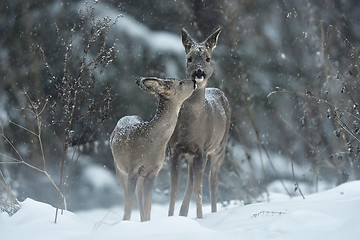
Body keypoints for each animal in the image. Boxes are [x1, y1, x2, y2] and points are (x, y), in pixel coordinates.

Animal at [111, 77, 198, 221]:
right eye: (180, 82)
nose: (194, 81)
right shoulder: (132, 168)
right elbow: (129, 204)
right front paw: (125, 222)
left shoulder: (152, 172)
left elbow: (148, 204)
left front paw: (146, 222)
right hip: (120, 170)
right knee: (128, 196)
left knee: (139, 196)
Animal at [168, 28, 232, 219]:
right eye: (189, 58)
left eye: (208, 58)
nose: (199, 72)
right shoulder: (175, 149)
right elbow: (174, 189)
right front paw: (171, 217)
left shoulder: (202, 149)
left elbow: (199, 188)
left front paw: (200, 217)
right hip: (192, 155)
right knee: (191, 180)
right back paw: (183, 213)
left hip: (220, 147)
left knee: (212, 182)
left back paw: (212, 211)